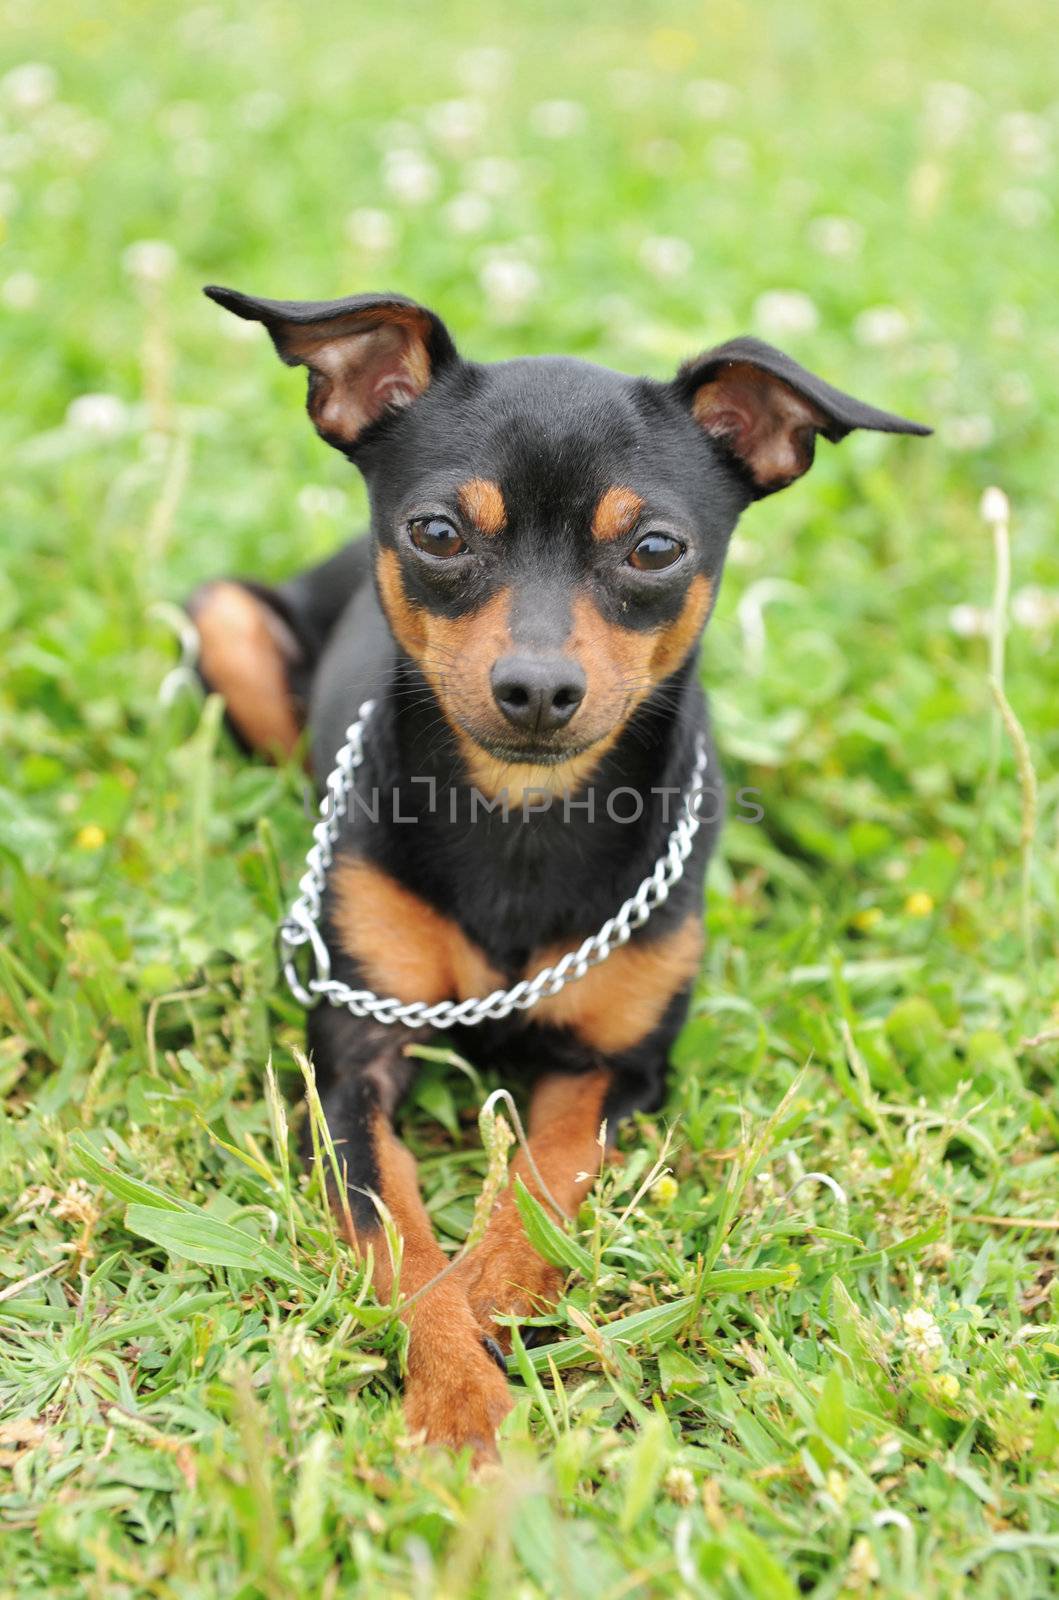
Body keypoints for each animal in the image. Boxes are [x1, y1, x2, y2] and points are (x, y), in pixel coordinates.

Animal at [188, 281, 927, 1459]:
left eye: (655, 548)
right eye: (437, 532)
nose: (535, 688)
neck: (522, 822)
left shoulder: (615, 1066)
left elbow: (542, 1176)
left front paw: (495, 1297)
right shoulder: (352, 1061)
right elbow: (405, 1246)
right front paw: (459, 1400)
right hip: (227, 620)